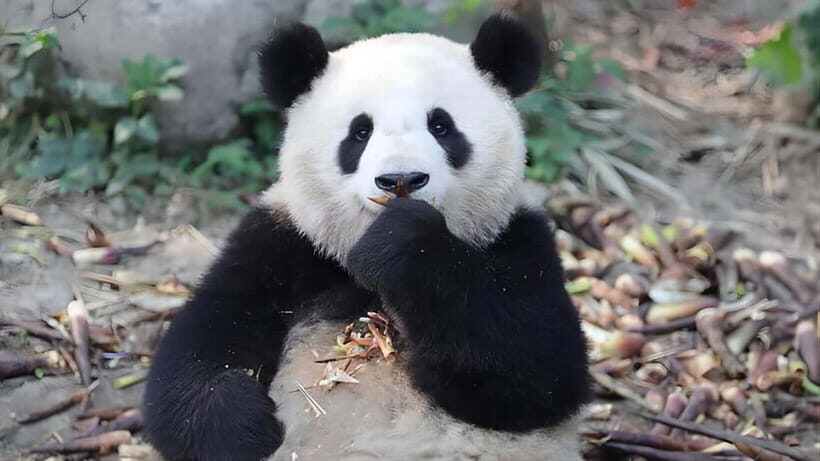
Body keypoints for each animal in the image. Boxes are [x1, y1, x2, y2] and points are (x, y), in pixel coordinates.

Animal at [143, 12, 590, 461]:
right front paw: (244, 431)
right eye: (360, 133)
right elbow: (201, 346)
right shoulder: (284, 245)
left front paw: (401, 243)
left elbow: (538, 366)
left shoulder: (517, 239)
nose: (400, 179)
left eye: (441, 126)